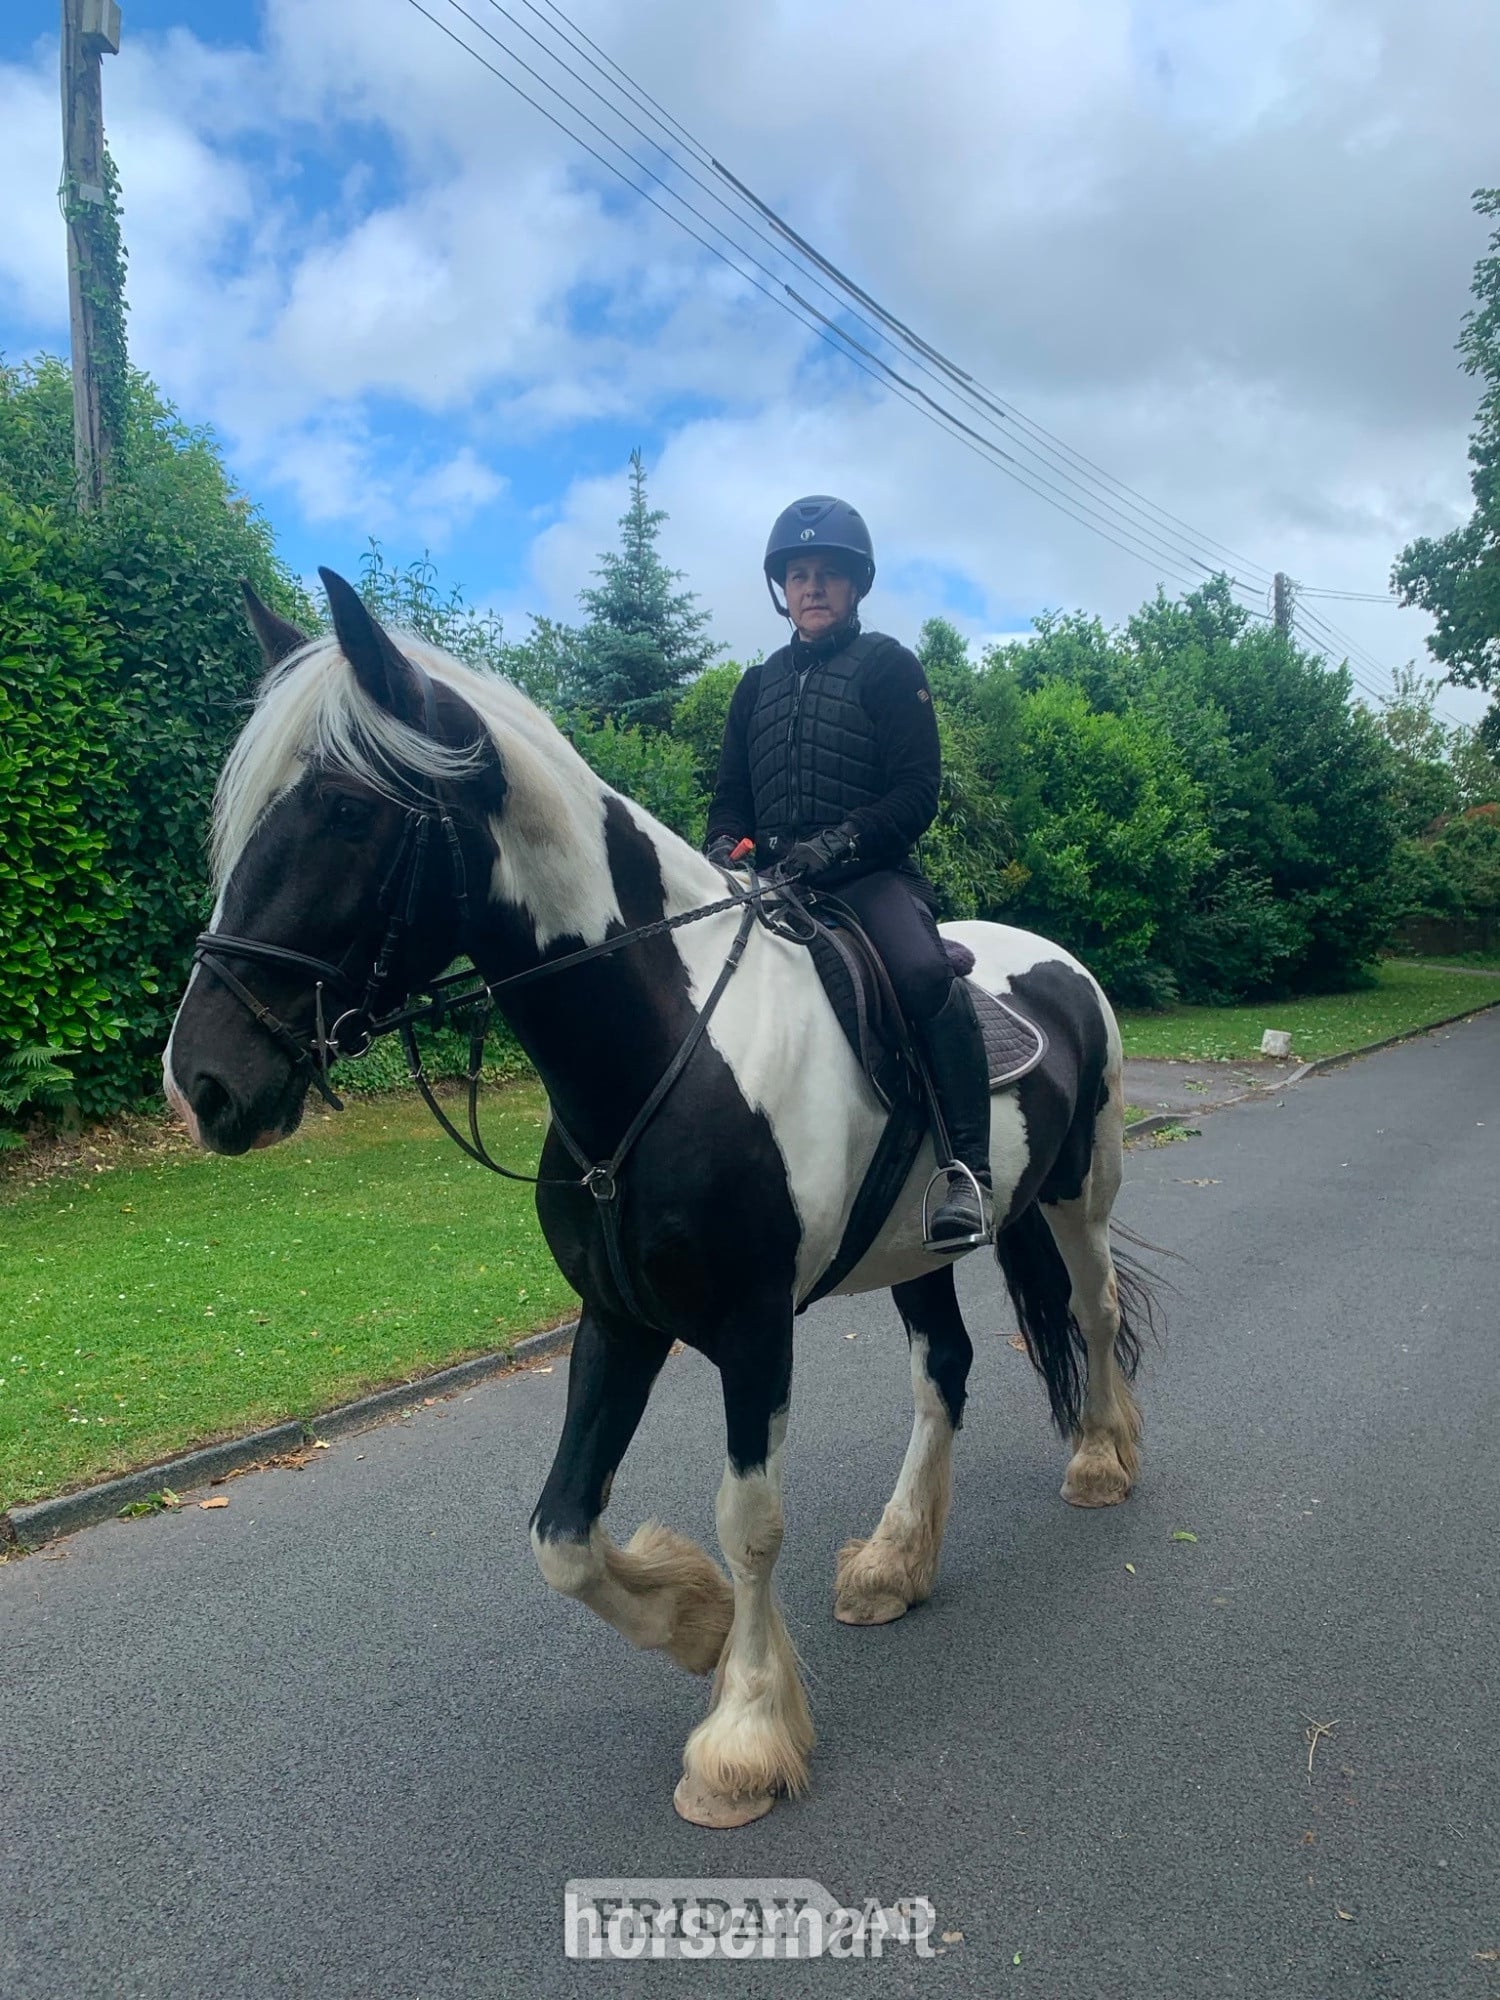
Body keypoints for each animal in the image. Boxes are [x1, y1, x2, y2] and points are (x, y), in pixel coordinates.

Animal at [164, 570, 1154, 1828]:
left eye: (344, 810)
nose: (201, 1079)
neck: (672, 1047)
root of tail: (1050, 960)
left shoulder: (751, 1324)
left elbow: (751, 1519)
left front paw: (743, 1734)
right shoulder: (619, 1317)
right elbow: (561, 1529)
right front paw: (695, 1623)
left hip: (1079, 1195)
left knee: (1094, 1310)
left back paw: (1102, 1462)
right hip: (919, 1248)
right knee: (946, 1369)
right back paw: (894, 1561)